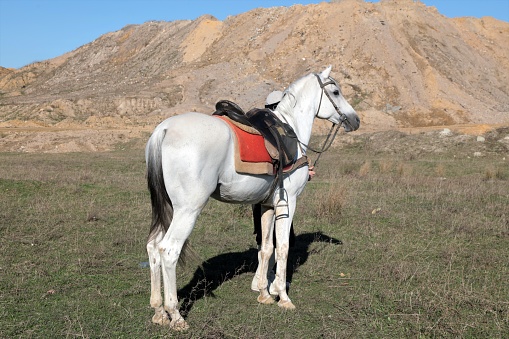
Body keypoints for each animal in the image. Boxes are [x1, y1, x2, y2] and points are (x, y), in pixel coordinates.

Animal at [144, 65, 358, 330]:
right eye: (336, 92)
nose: (355, 120)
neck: (292, 131)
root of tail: (163, 130)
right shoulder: (288, 203)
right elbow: (283, 248)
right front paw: (283, 296)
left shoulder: (267, 205)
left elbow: (266, 248)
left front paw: (265, 294)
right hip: (187, 209)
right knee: (168, 250)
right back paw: (175, 314)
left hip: (169, 207)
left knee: (153, 247)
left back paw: (159, 311)